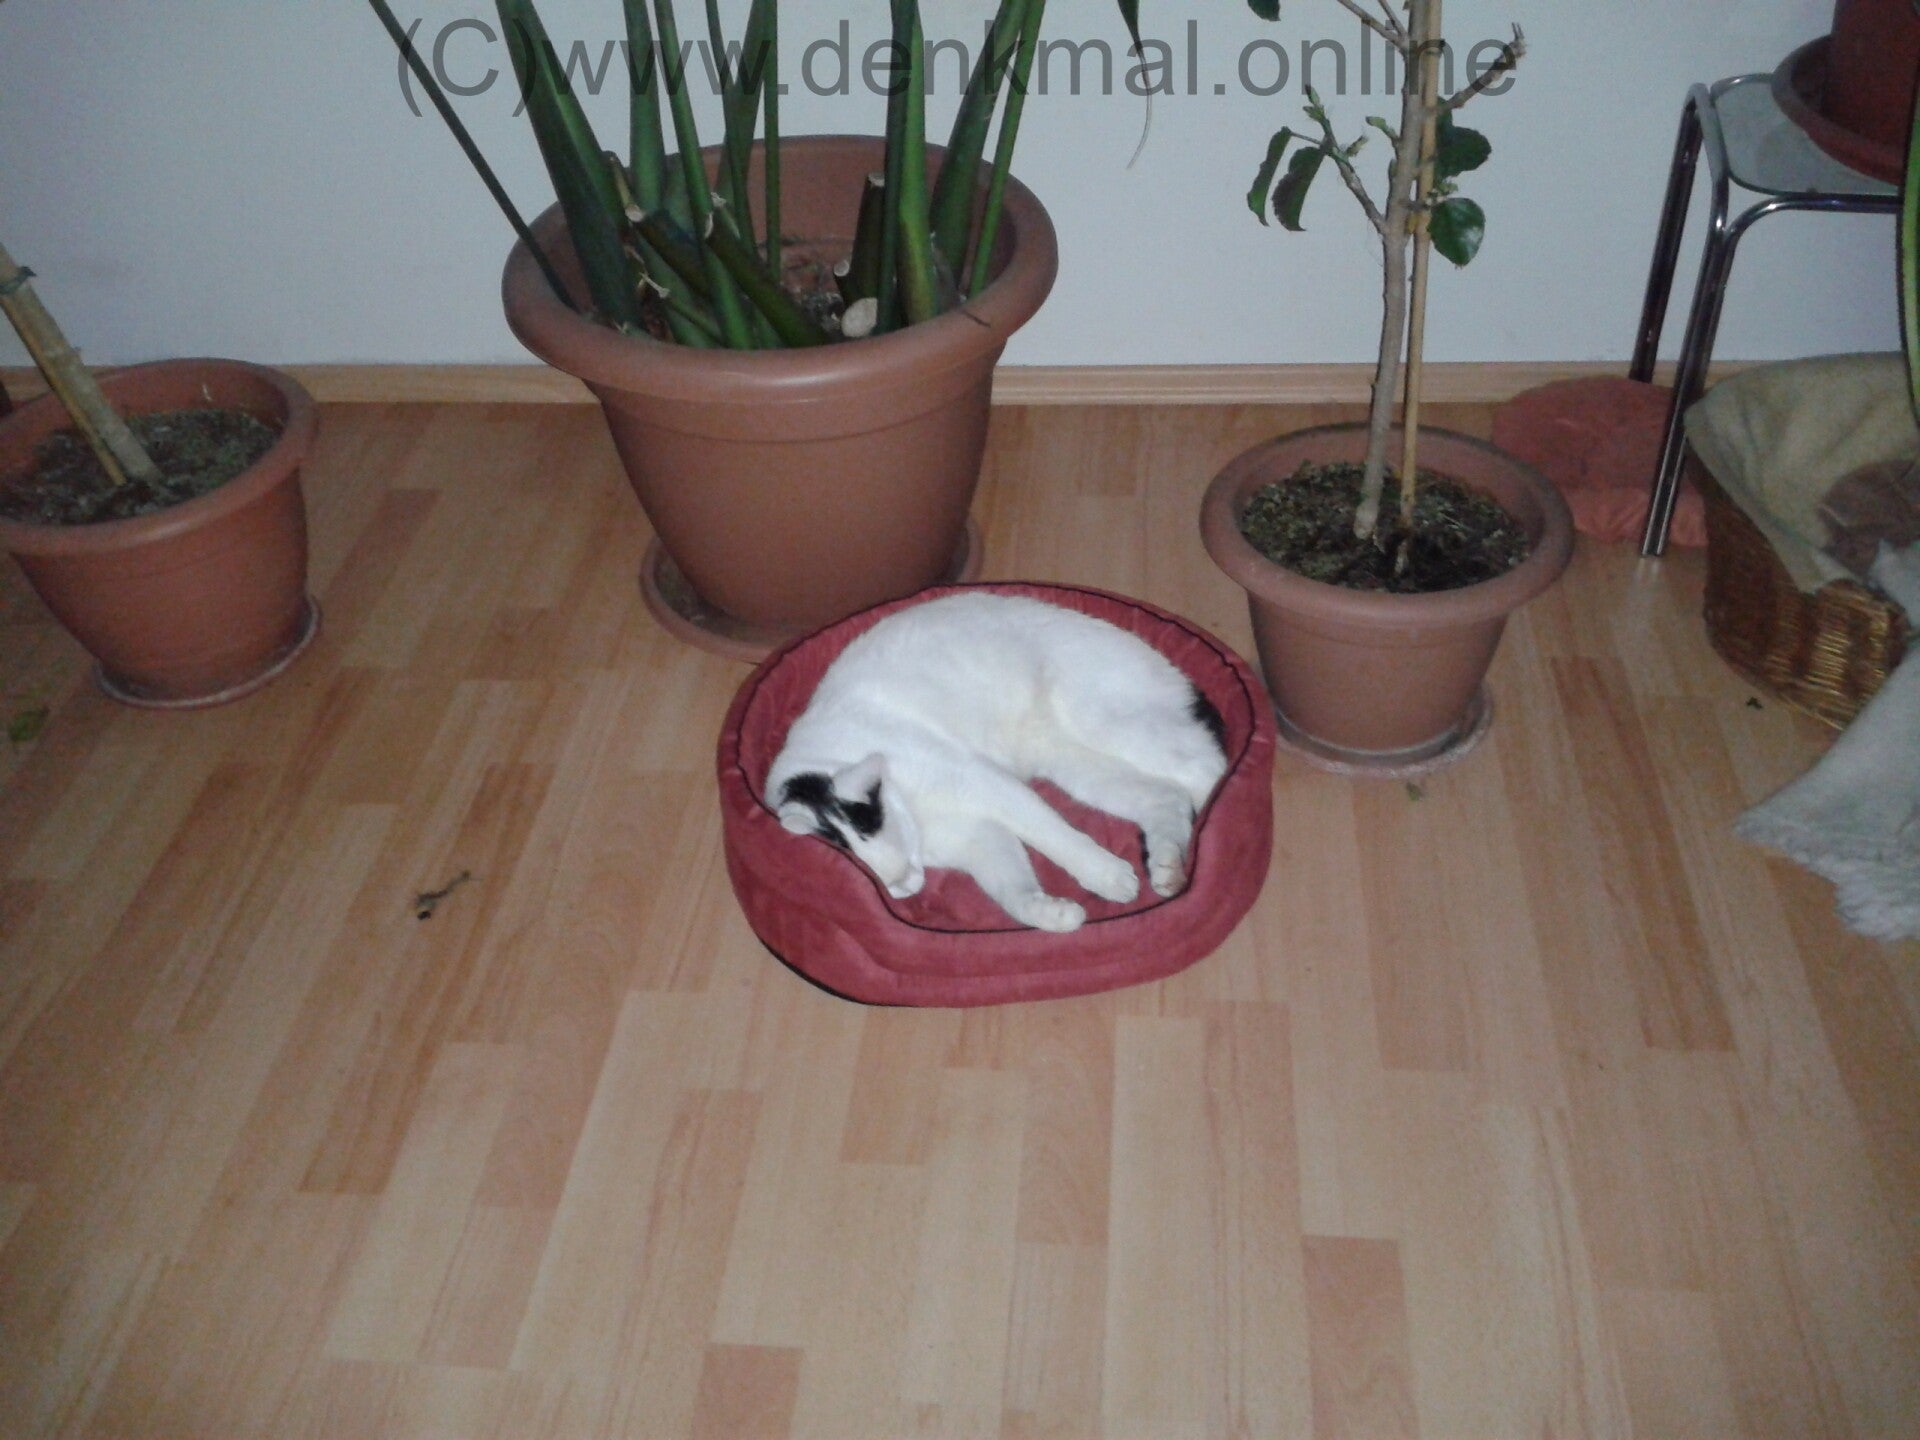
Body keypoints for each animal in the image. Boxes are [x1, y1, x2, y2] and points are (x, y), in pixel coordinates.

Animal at [765, 594, 1231, 933]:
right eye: (857, 864)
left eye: (871, 829)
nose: (903, 886)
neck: (915, 813)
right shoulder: (978, 835)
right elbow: (1014, 892)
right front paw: (1055, 915)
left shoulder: (983, 783)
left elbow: (1053, 835)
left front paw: (1105, 875)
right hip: (1084, 771)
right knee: (1168, 797)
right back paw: (1168, 867)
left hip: (1112, 726)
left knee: (1209, 769)